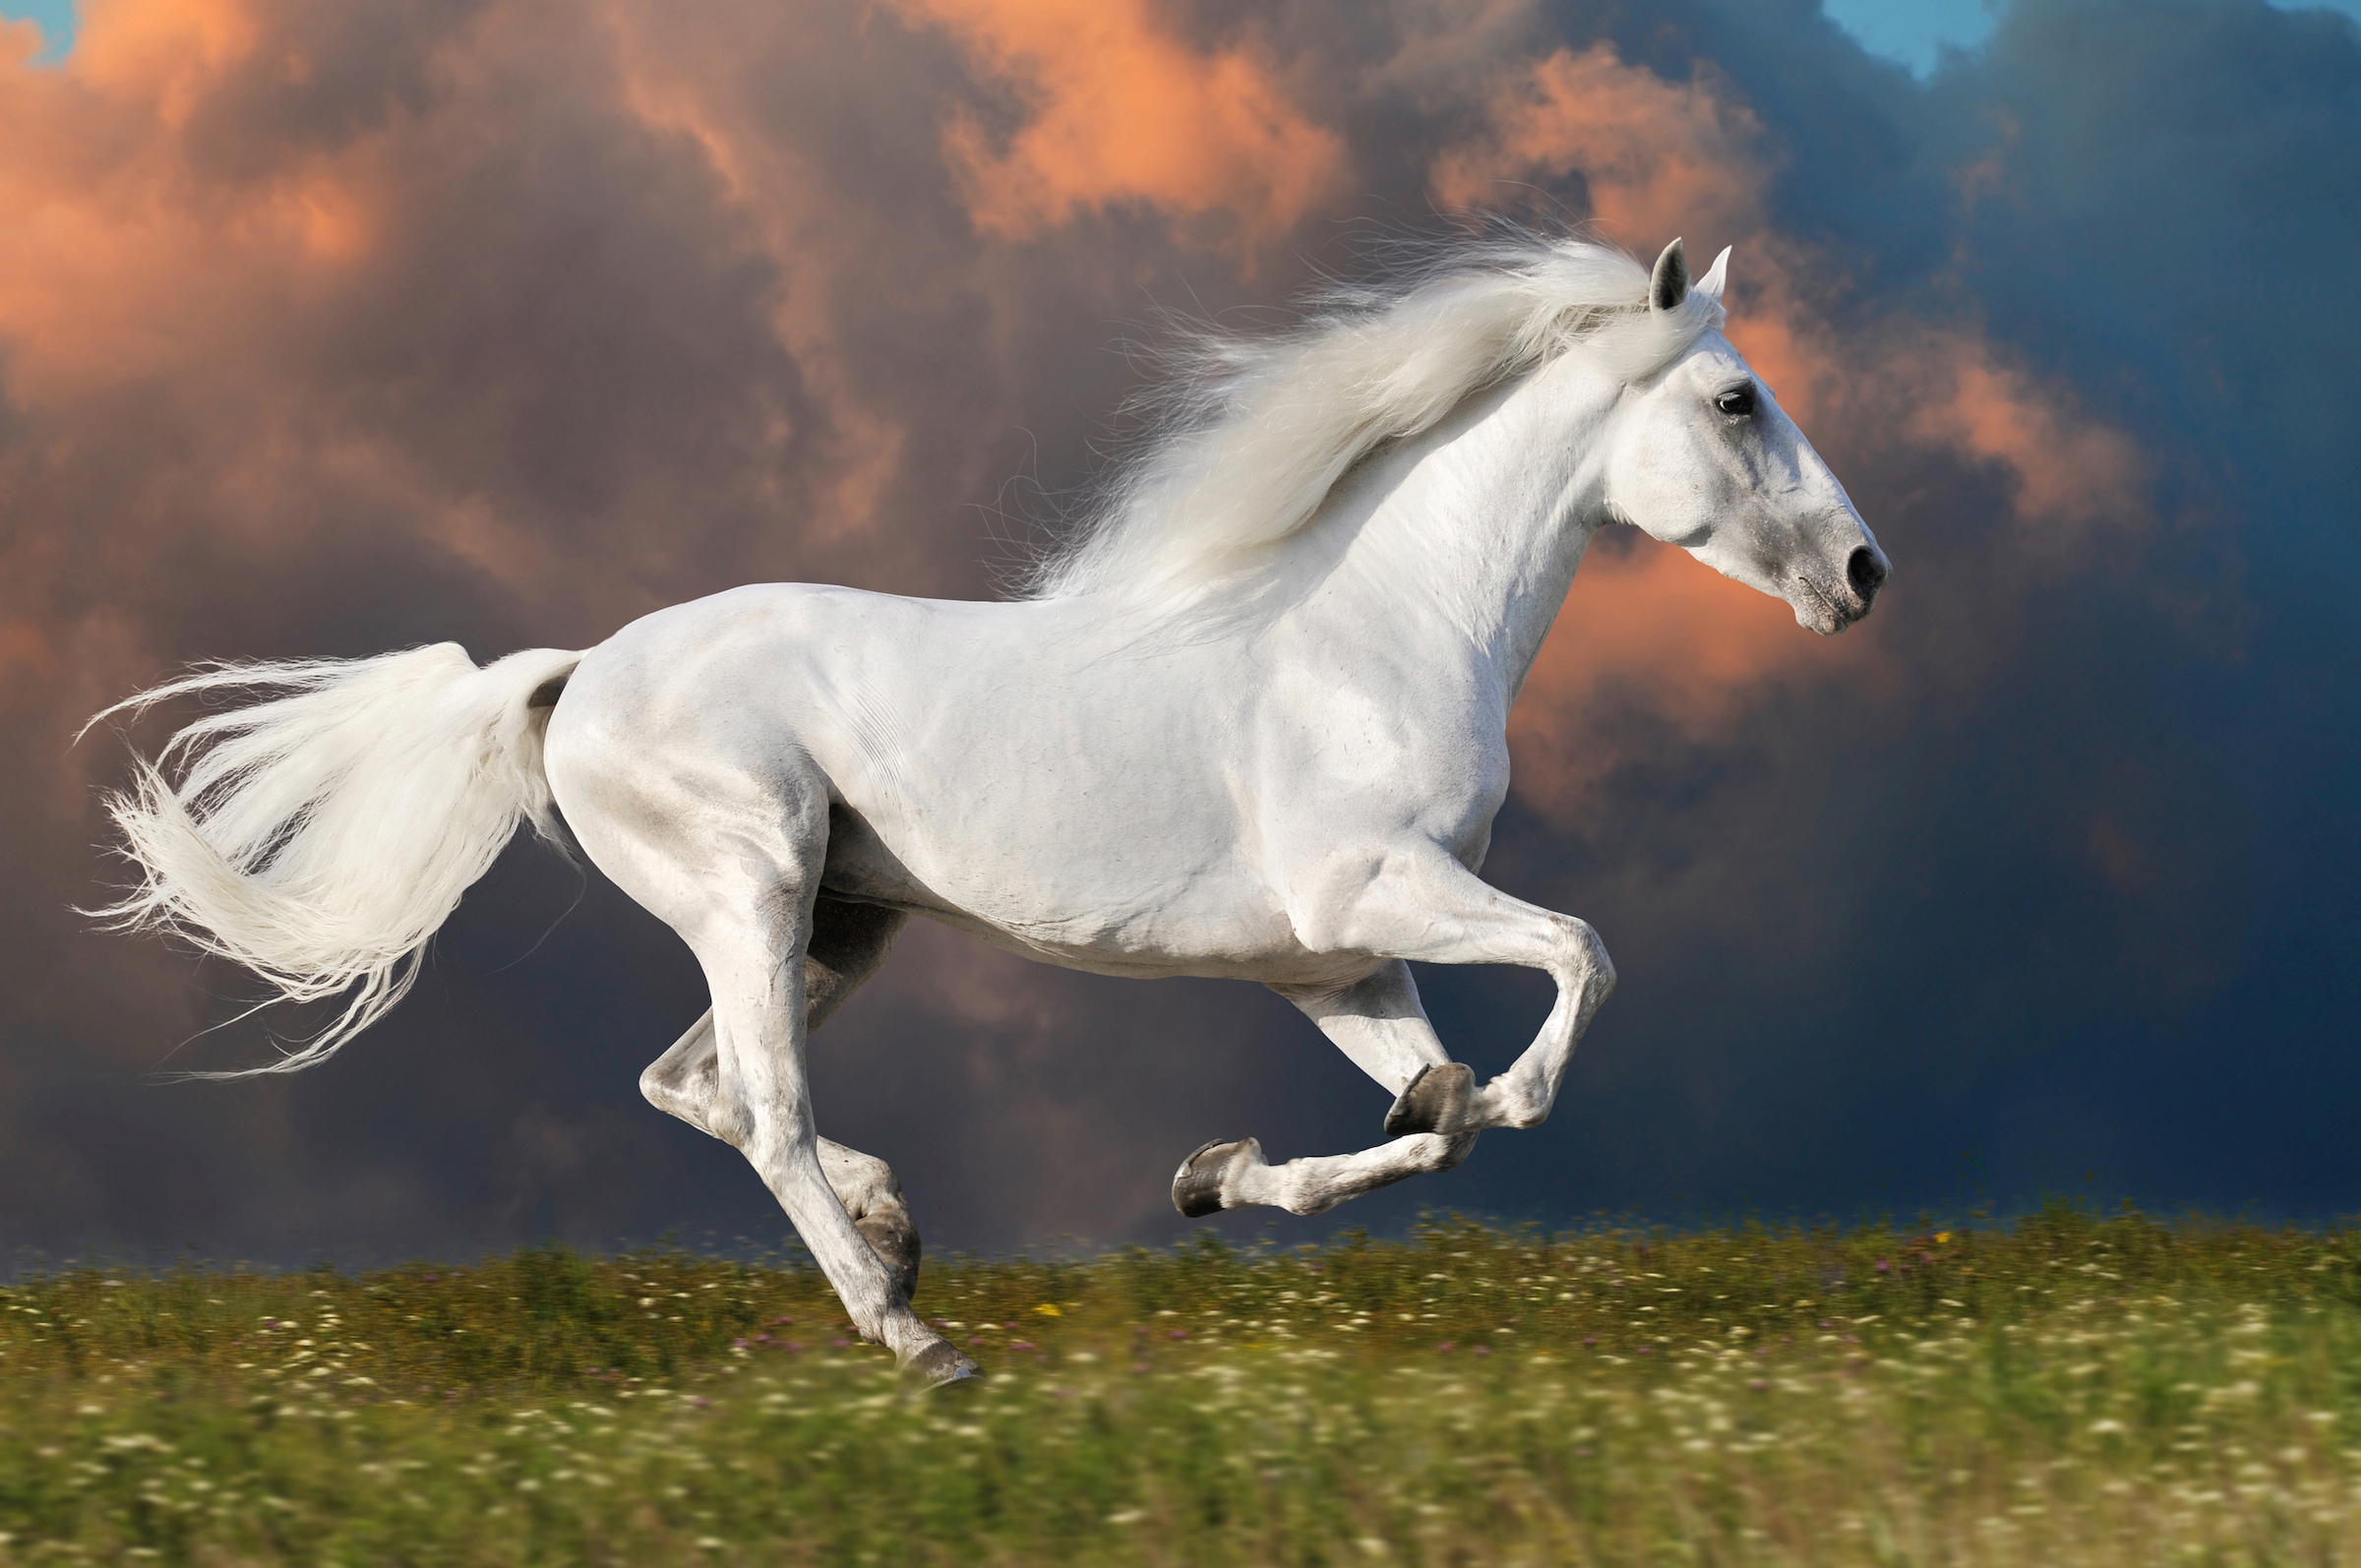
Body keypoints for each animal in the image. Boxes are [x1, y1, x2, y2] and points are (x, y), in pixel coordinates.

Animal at [87, 232, 1879, 1388]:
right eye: (1736, 401)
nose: (1864, 574)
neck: (1374, 630)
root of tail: (578, 671)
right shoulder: (1376, 890)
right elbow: (1574, 971)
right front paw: (1433, 1105)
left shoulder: (1333, 960)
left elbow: (1430, 1118)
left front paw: (1221, 1173)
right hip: (752, 889)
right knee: (763, 1107)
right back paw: (914, 1334)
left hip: (837, 924)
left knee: (694, 1082)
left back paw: (895, 1231)